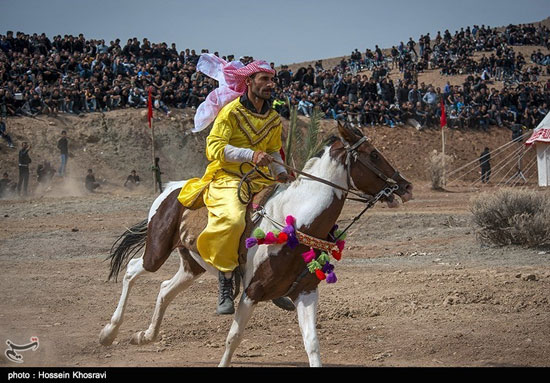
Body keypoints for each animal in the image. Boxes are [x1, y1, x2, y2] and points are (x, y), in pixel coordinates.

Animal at [99, 124, 414, 368]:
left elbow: (312, 343)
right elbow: (233, 338)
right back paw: (108, 333)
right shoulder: (250, 293)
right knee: (132, 270)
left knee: (165, 289)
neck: (295, 224)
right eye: (374, 154)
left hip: (192, 265)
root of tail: (171, 188)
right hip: (157, 250)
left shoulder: (306, 292)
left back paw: (145, 335)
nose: (406, 186)